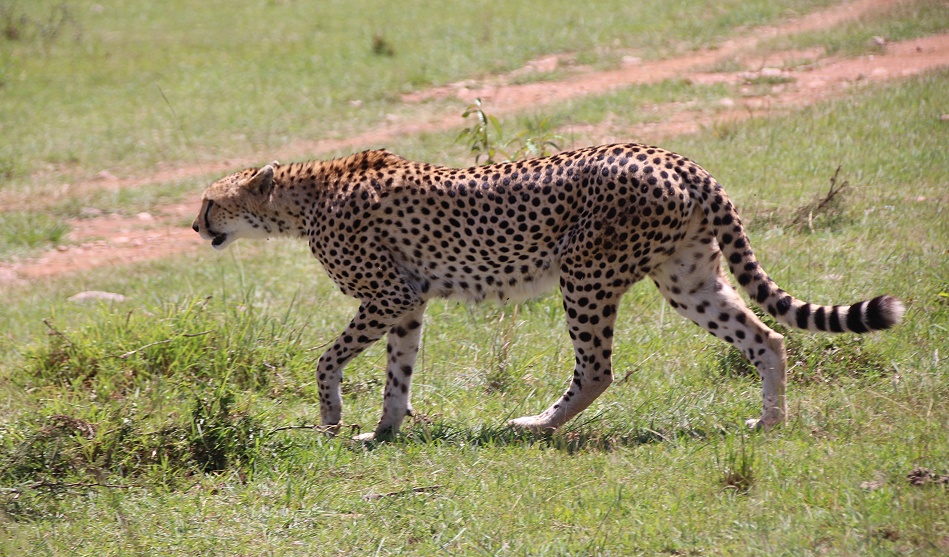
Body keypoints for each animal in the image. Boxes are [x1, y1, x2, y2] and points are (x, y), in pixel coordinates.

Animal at [192, 143, 904, 441]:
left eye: (208, 201)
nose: (194, 225)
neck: (303, 196)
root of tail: (674, 157)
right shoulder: (410, 303)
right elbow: (398, 372)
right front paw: (384, 430)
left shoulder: (389, 296)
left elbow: (326, 359)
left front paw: (334, 418)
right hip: (687, 278)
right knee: (767, 337)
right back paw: (770, 421)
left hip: (585, 275)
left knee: (596, 369)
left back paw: (537, 425)